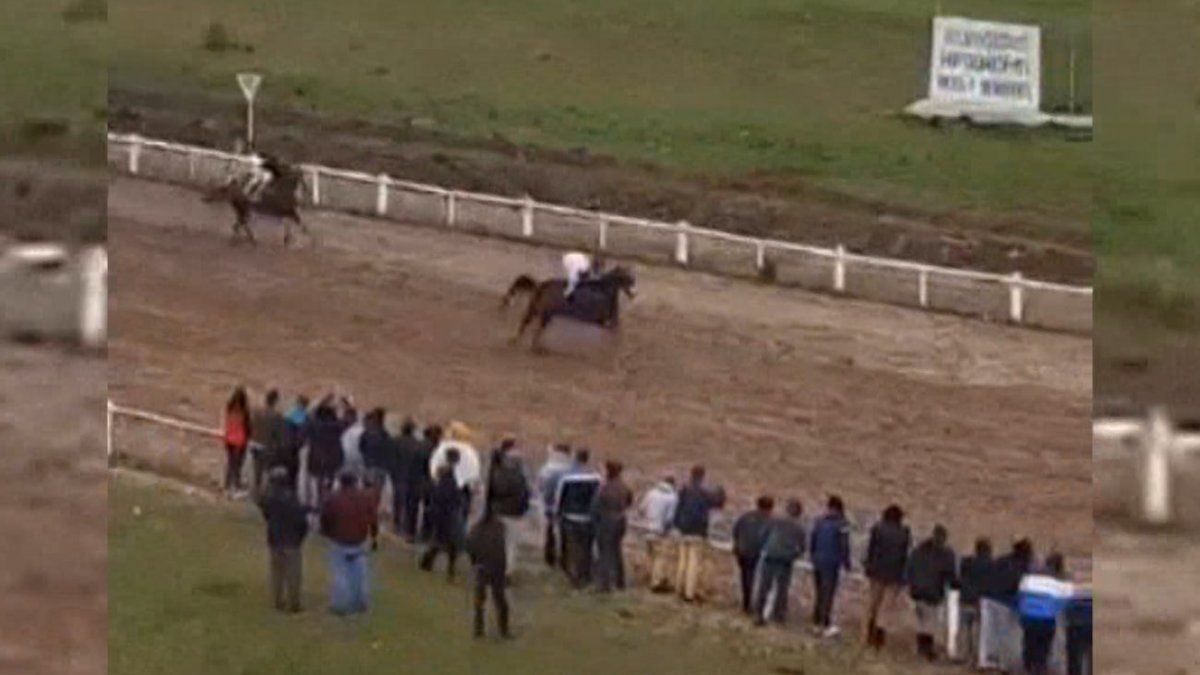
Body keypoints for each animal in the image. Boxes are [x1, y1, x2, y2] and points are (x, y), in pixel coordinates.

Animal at [501, 264, 638, 353]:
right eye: (628, 279)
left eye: (633, 279)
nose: (634, 294)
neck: (605, 290)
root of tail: (541, 284)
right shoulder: (609, 321)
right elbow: (617, 335)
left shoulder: (607, 323)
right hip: (544, 314)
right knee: (534, 330)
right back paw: (535, 348)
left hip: (537, 311)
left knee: (525, 324)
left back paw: (517, 342)